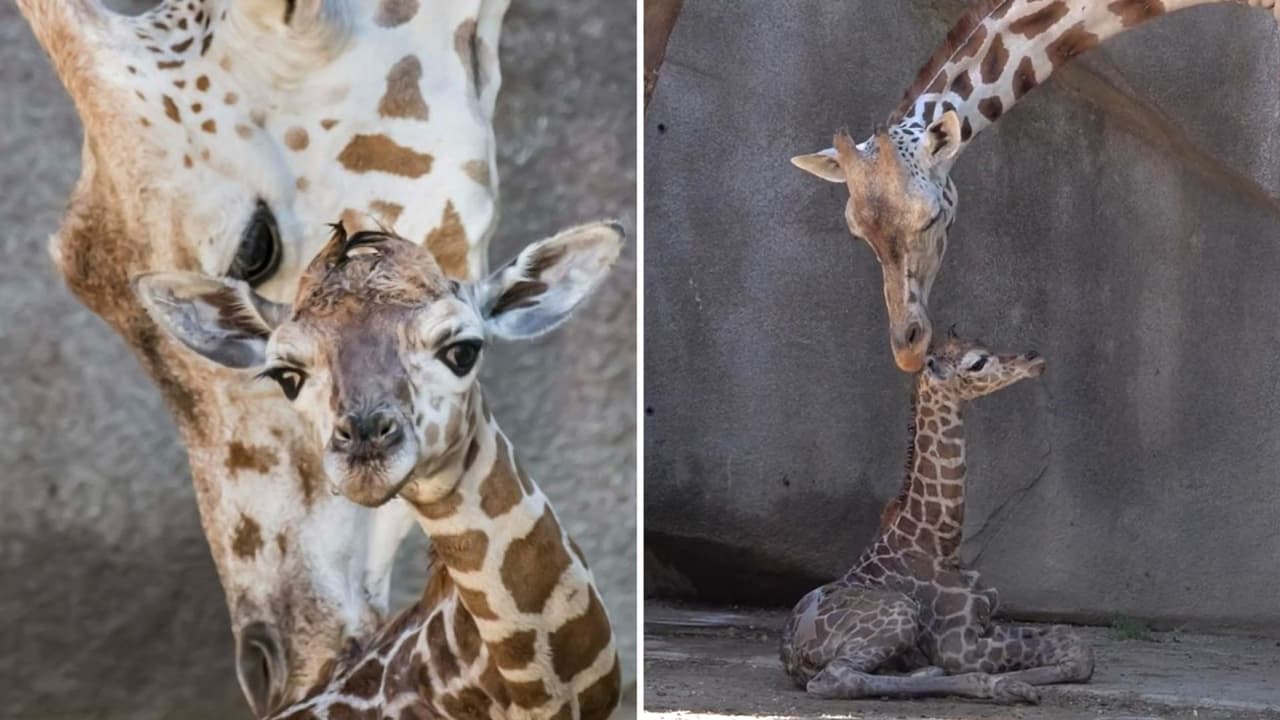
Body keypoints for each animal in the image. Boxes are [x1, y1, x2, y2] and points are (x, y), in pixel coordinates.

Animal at [780, 332, 1092, 704]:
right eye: (977, 362)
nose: (1033, 359)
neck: (939, 542)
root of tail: (792, 654)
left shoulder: (987, 621)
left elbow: (1074, 644)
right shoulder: (959, 646)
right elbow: (1076, 652)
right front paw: (1013, 683)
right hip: (900, 613)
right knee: (836, 678)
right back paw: (996, 686)